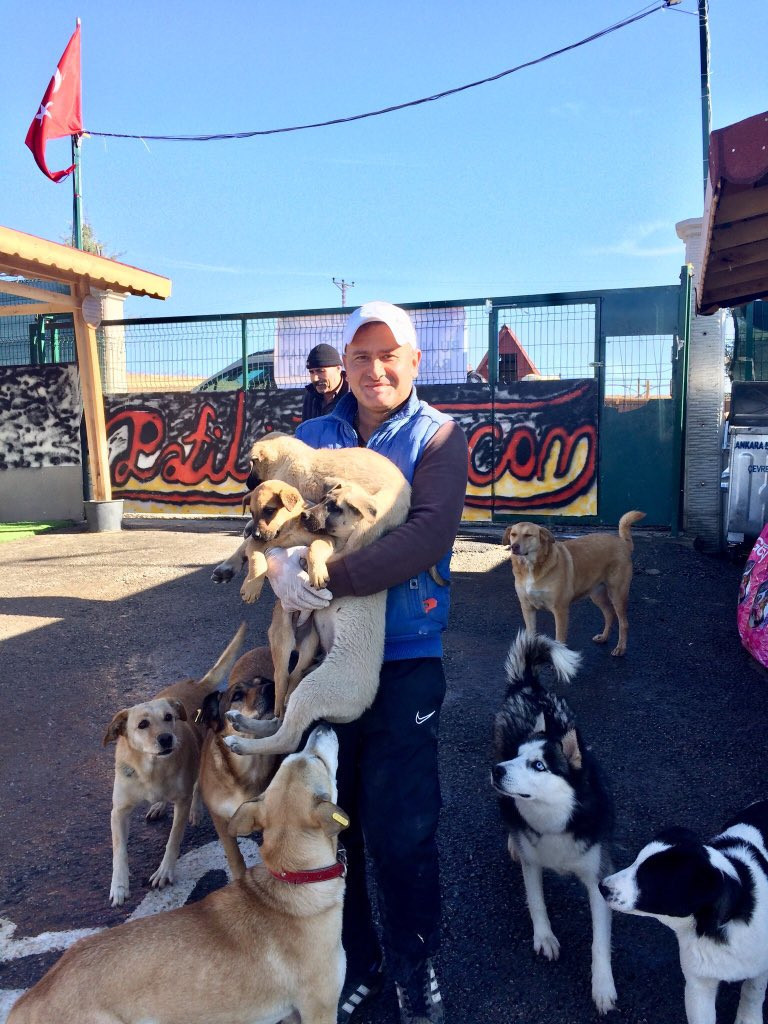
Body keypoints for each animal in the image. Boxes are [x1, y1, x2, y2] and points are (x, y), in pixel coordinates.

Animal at [102, 625, 247, 907]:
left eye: (168, 718)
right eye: (142, 724)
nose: (167, 738)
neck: (151, 769)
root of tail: (198, 684)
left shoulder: (180, 800)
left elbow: (174, 838)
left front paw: (165, 871)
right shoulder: (119, 811)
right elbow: (119, 851)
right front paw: (119, 886)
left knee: (196, 786)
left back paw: (195, 809)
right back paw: (158, 805)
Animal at [491, 631, 617, 1014]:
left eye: (539, 766)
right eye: (517, 756)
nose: (497, 770)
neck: (554, 819)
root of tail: (529, 685)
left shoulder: (598, 875)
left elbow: (599, 941)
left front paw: (602, 985)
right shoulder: (533, 863)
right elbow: (537, 902)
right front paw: (544, 937)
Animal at [503, 509, 645, 656]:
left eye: (528, 535)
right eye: (513, 534)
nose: (514, 547)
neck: (531, 567)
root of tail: (622, 543)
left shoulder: (560, 610)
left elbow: (559, 639)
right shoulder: (527, 608)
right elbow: (531, 634)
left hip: (617, 594)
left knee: (623, 623)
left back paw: (620, 647)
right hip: (597, 595)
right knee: (609, 614)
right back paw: (604, 637)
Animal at [600, 800, 768, 1024]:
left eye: (649, 879)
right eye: (635, 862)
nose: (601, 887)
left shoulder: (761, 968)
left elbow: (753, 992)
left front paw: (748, 1018)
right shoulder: (699, 985)